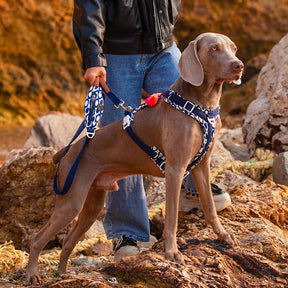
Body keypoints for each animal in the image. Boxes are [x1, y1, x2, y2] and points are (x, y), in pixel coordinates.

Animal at [26, 32, 243, 284]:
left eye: (233, 48)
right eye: (214, 49)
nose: (239, 65)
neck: (202, 104)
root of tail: (68, 149)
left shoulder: (201, 165)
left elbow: (209, 207)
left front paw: (223, 236)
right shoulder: (175, 169)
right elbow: (171, 219)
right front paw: (172, 253)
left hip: (91, 203)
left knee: (69, 241)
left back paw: (62, 274)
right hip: (71, 199)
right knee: (38, 239)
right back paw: (32, 275)